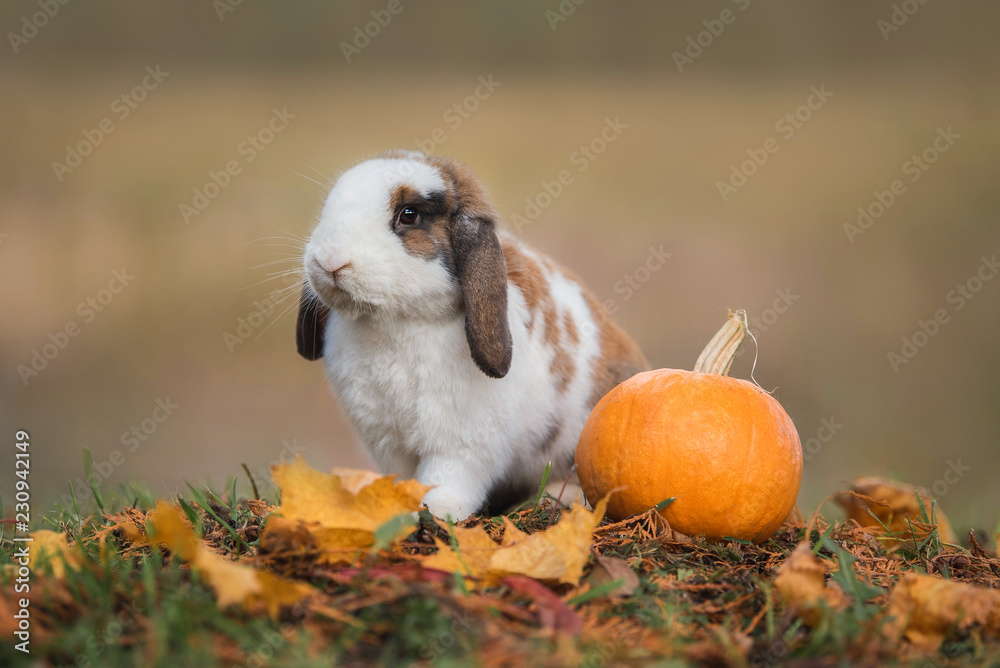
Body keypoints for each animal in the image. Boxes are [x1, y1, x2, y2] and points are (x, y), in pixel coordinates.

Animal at [296, 150, 648, 520]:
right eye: (329, 206)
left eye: (409, 215)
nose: (330, 261)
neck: (396, 323)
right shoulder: (387, 441)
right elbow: (401, 476)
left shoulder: (461, 444)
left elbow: (448, 477)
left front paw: (439, 510)